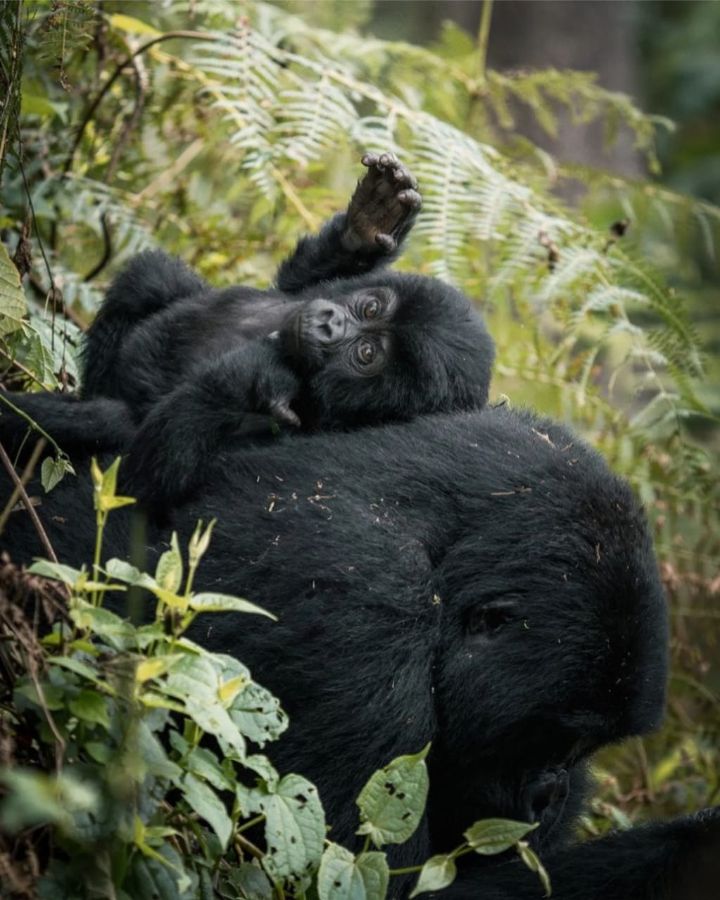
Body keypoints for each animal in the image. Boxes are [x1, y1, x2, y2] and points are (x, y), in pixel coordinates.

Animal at [0, 155, 496, 512]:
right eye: (370, 307)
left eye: (368, 354)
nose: (332, 323)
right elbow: (292, 284)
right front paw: (366, 227)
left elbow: (137, 486)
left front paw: (255, 375)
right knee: (151, 277)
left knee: (111, 420)